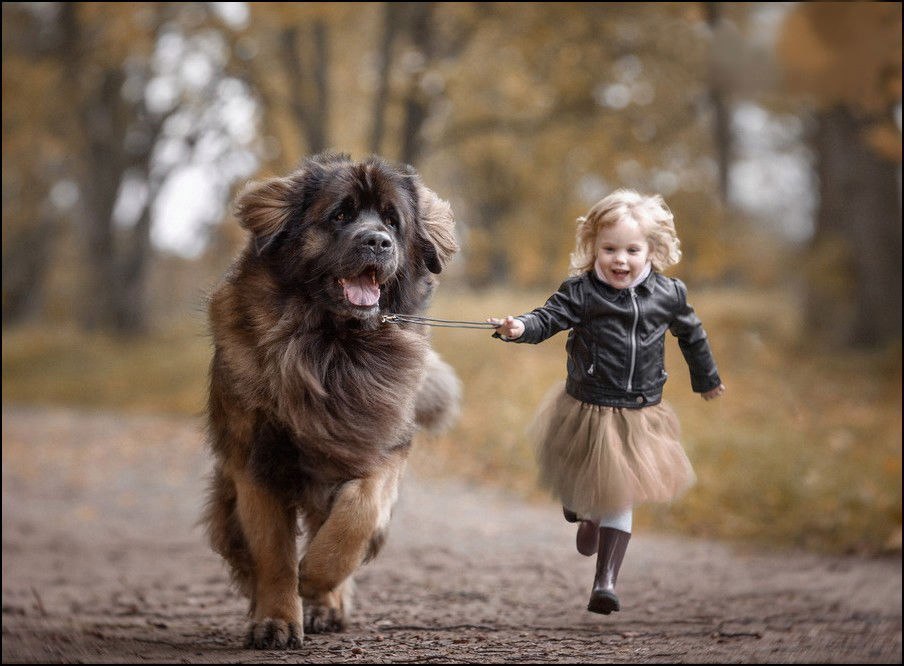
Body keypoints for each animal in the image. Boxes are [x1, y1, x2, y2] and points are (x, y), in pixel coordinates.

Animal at [205, 153, 460, 644]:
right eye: (340, 215)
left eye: (392, 222)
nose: (377, 242)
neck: (333, 348)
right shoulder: (256, 462)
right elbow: (273, 553)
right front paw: (277, 618)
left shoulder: (378, 444)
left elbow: (356, 516)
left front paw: (317, 577)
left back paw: (327, 604)